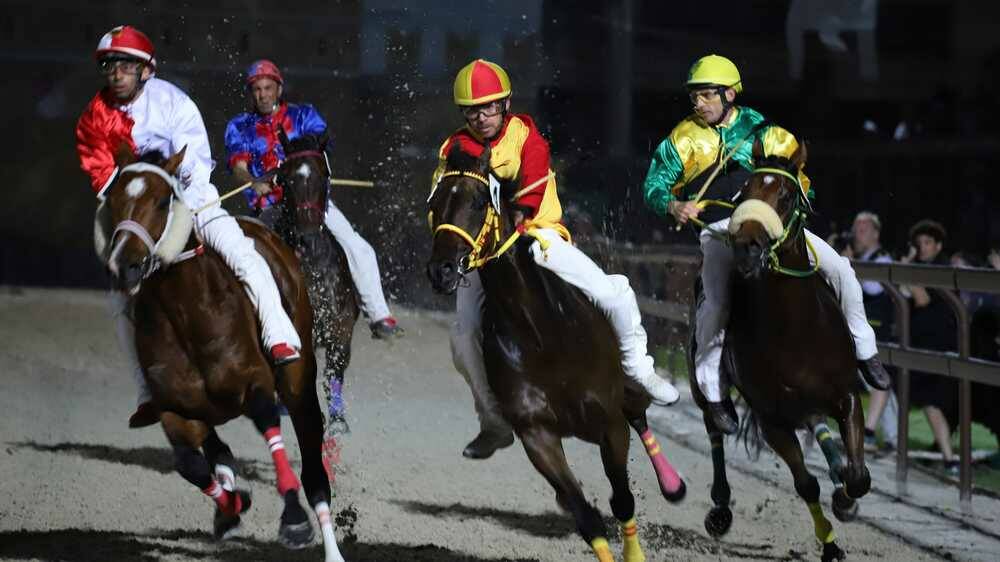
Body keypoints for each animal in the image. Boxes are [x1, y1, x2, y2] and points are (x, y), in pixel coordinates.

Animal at [99, 144, 346, 560]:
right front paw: (232, 506)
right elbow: (188, 464)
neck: (187, 317)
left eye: (162, 200)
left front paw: (294, 519)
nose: (124, 265)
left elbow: (267, 420)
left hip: (298, 381)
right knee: (216, 451)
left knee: (314, 472)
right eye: (114, 199)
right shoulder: (174, 408)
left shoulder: (255, 380)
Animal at [270, 128, 364, 438]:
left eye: (323, 174)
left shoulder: (341, 326)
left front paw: (337, 420)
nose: (309, 235)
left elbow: (334, 369)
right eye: (285, 178)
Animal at [692, 139, 872, 560]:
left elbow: (858, 477)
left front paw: (845, 496)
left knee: (819, 428)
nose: (747, 247)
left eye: (787, 195)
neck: (795, 331)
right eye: (746, 191)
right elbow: (806, 484)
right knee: (714, 426)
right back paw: (720, 508)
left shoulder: (846, 395)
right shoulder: (772, 418)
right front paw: (830, 545)